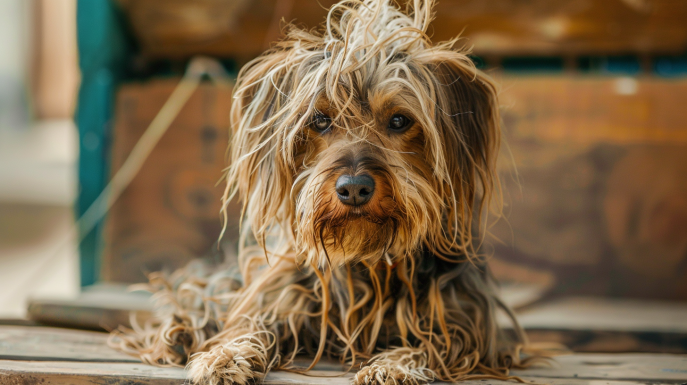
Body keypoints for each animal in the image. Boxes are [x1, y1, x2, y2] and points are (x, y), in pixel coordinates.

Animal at [111, 1, 532, 382]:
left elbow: (434, 343)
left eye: (399, 120)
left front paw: (394, 366)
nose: (354, 188)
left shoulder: (464, 320)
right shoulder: (276, 289)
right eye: (320, 120)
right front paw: (225, 357)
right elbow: (248, 321)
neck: (365, 257)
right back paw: (178, 335)